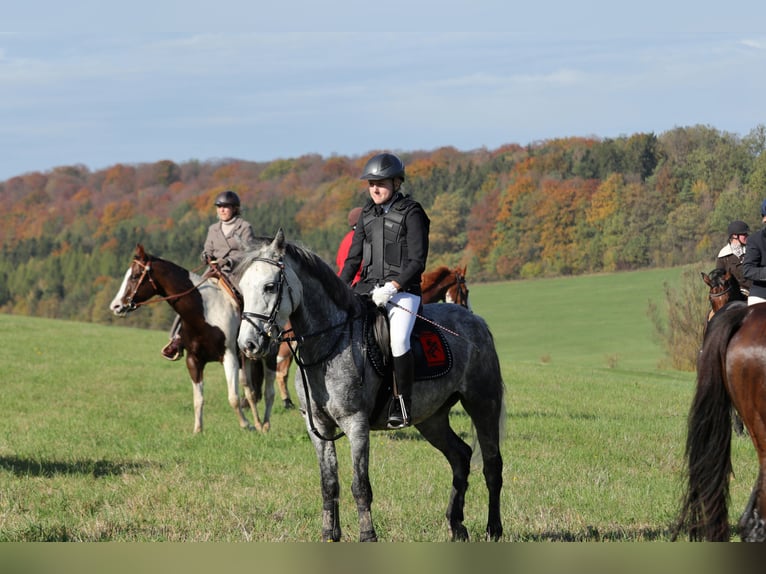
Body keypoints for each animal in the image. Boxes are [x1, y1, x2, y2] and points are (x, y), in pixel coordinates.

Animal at [108, 244, 276, 436]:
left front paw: (246, 425)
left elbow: (233, 397)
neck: (204, 314)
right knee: (249, 389)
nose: (116, 306)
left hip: (264, 356)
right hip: (246, 359)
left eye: (135, 276)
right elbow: (198, 399)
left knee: (263, 390)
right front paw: (198, 429)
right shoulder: (194, 360)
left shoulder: (229, 357)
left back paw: (263, 425)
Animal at [237, 231, 508, 544]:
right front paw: (329, 535)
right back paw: (457, 526)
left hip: (482, 403)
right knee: (460, 456)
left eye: (269, 286)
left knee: (491, 464)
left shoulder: (356, 424)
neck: (327, 345)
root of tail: (476, 322)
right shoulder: (318, 427)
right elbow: (329, 483)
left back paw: (493, 528)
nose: (248, 345)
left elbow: (360, 485)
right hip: (432, 419)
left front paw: (367, 535)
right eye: (242, 289)